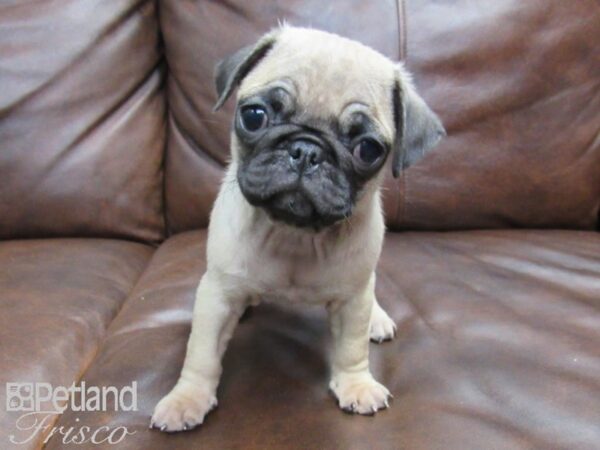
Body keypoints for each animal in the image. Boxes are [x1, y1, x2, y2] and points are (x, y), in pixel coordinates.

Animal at [151, 25, 440, 432]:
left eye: (368, 149)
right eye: (254, 116)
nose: (306, 150)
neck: (296, 235)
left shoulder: (353, 299)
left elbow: (351, 347)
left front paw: (356, 384)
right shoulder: (218, 294)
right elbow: (202, 353)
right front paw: (187, 398)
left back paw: (378, 318)